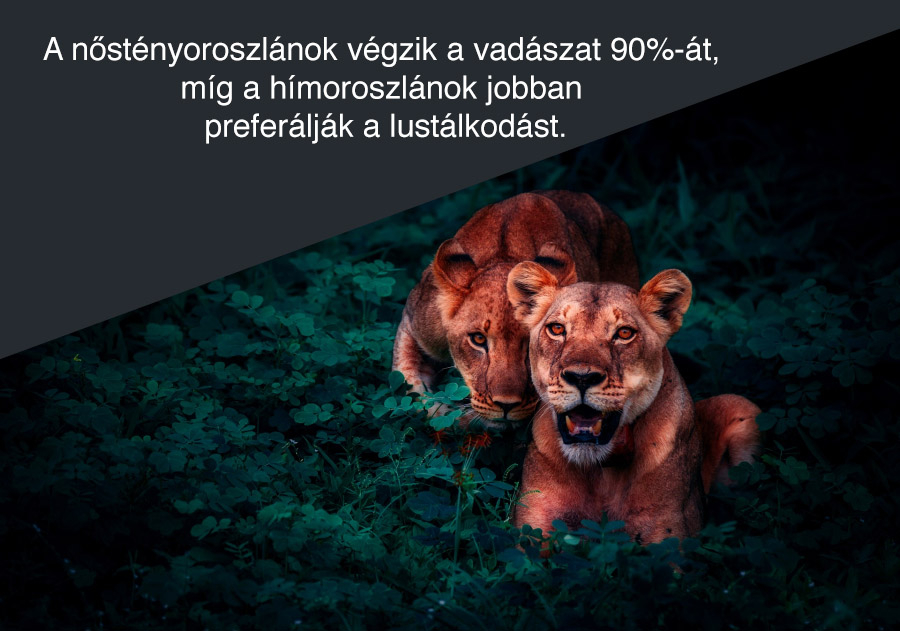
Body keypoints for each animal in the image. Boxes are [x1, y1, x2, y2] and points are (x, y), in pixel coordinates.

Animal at [507, 262, 760, 545]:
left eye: (624, 333)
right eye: (557, 329)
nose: (582, 377)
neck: (601, 471)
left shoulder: (669, 533)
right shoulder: (533, 525)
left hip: (741, 405)